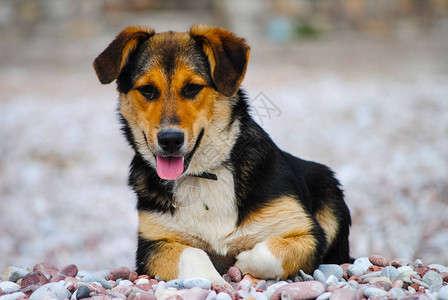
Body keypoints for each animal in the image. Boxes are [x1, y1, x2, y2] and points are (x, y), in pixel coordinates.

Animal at [93, 25, 352, 286]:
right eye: (147, 90)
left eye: (192, 87)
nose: (170, 140)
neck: (205, 174)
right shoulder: (151, 245)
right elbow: (192, 253)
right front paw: (214, 281)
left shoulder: (309, 234)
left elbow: (269, 251)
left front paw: (244, 261)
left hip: (328, 188)